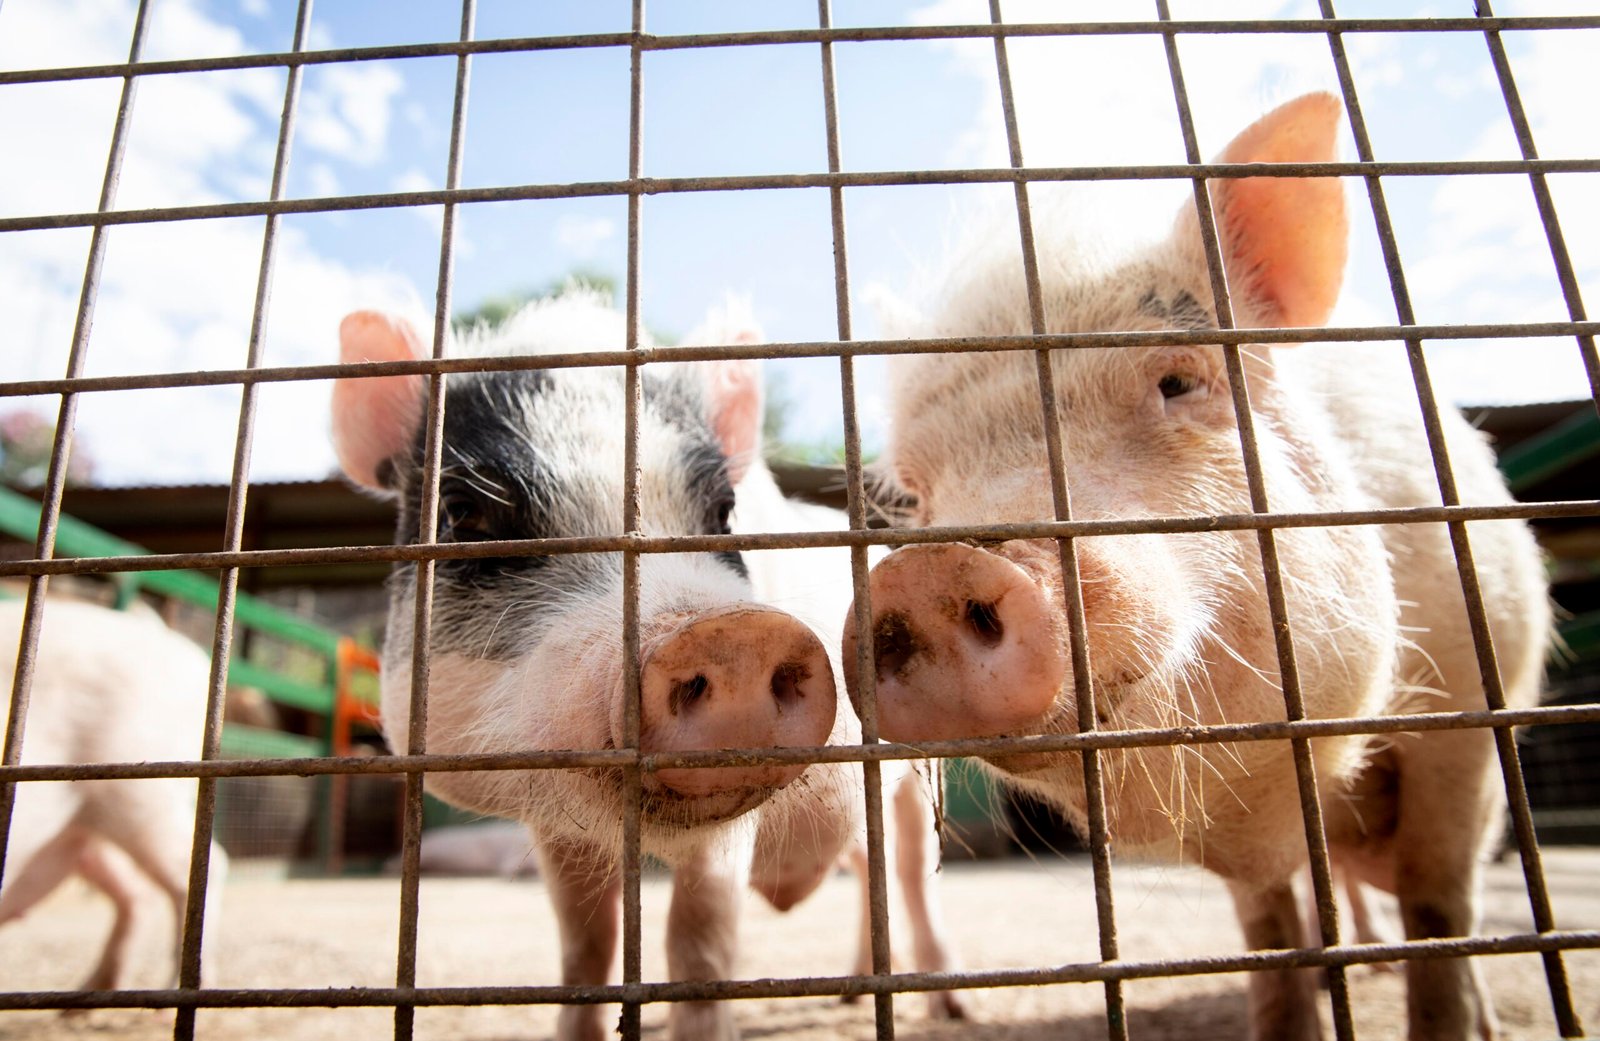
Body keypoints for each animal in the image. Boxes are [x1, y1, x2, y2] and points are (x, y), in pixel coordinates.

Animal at [0, 597, 229, 997]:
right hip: (91, 824)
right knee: (136, 892)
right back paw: (80, 1000)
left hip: (137, 794)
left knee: (205, 866)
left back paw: (170, 996)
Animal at [332, 292, 962, 1041]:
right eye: (461, 513)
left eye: (724, 514)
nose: (731, 636)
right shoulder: (555, 826)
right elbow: (584, 942)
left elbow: (699, 935)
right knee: (873, 870)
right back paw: (851, 996)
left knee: (912, 872)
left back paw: (945, 1005)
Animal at [845, 92, 1549, 1041]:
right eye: (919, 493)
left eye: (1178, 381)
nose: (926, 570)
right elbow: (1268, 927)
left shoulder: (1474, 707)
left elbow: (1441, 906)